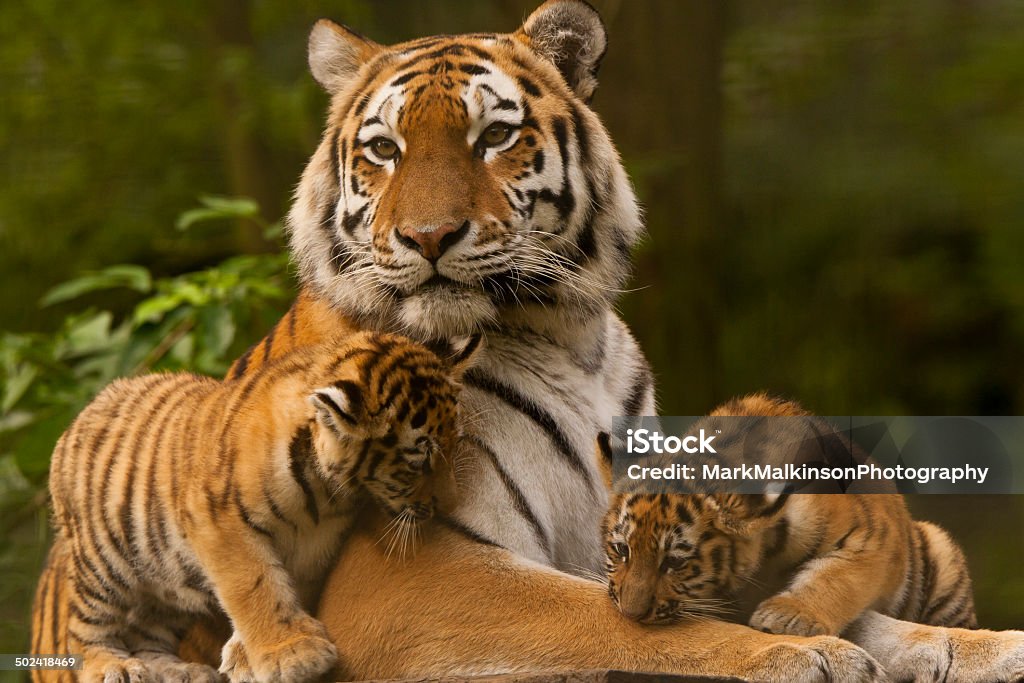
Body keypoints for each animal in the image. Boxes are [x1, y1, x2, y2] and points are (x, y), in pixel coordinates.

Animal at [32, 1, 1024, 683]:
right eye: (385, 149)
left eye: (493, 135)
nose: (429, 238)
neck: (562, 334)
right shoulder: (407, 572)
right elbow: (610, 617)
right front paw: (794, 654)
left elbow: (866, 610)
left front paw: (976, 644)